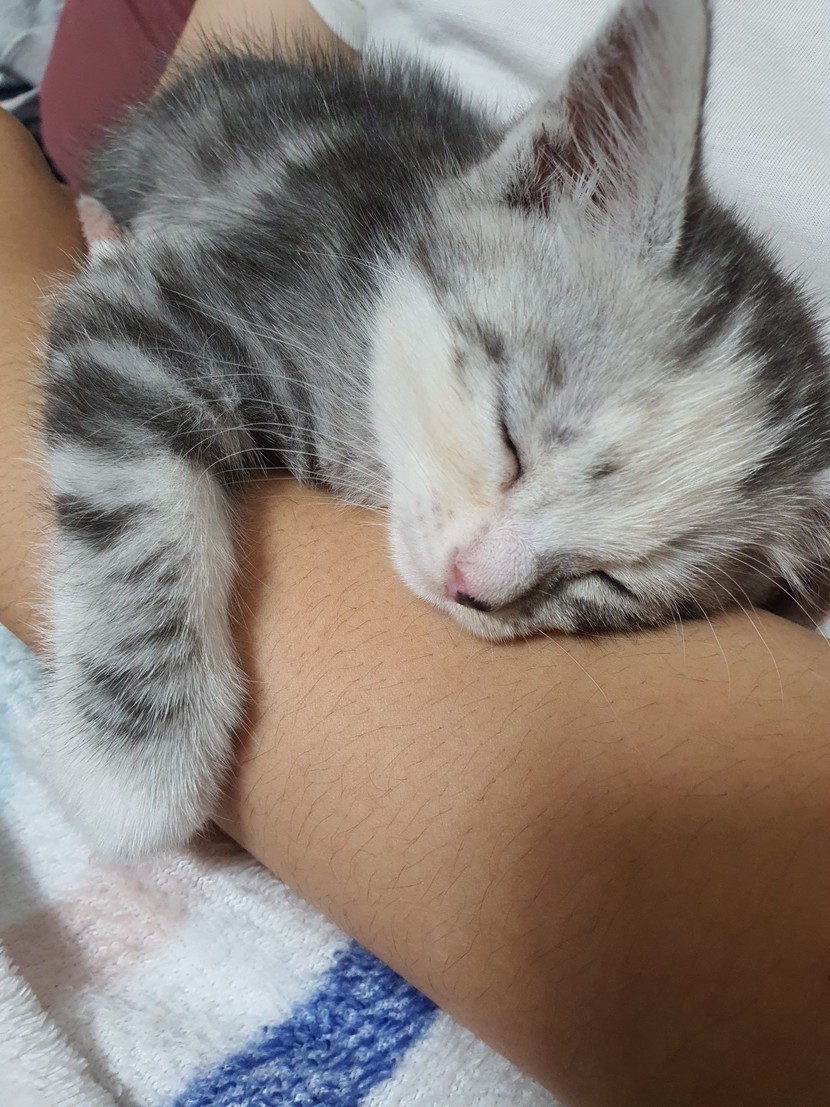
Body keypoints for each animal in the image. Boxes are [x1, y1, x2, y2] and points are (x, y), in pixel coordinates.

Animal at [41, 0, 830, 855]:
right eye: (509, 438)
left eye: (612, 580)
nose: (470, 587)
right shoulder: (152, 310)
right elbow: (139, 512)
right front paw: (134, 767)